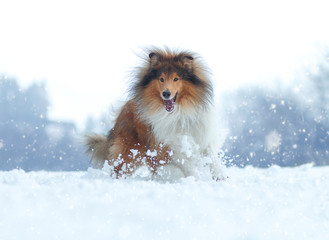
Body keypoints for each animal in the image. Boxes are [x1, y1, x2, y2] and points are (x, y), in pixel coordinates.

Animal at [85, 48, 223, 180]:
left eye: (176, 78)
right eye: (161, 79)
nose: (166, 93)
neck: (179, 112)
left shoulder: (203, 136)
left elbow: (212, 158)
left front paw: (220, 176)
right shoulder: (173, 146)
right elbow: (187, 166)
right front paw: (196, 179)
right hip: (129, 151)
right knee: (120, 168)